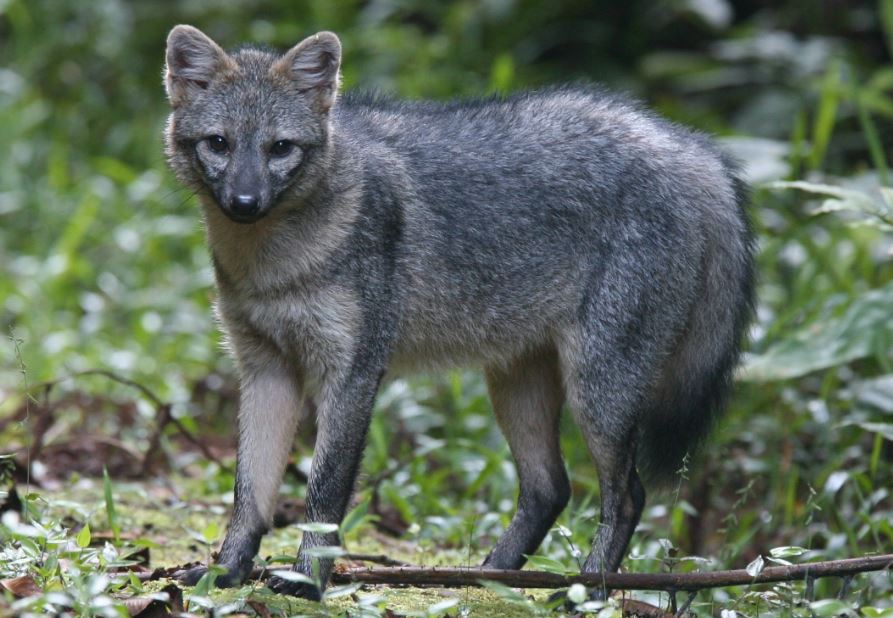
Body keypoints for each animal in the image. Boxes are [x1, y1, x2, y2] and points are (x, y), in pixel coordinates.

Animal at [163, 25, 754, 599]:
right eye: (219, 143)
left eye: (280, 148)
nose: (244, 203)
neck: (274, 266)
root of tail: (686, 144)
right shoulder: (266, 369)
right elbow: (249, 493)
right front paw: (226, 572)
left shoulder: (352, 373)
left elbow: (324, 493)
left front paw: (307, 582)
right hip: (518, 387)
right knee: (550, 489)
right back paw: (494, 576)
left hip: (597, 394)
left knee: (627, 495)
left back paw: (585, 592)